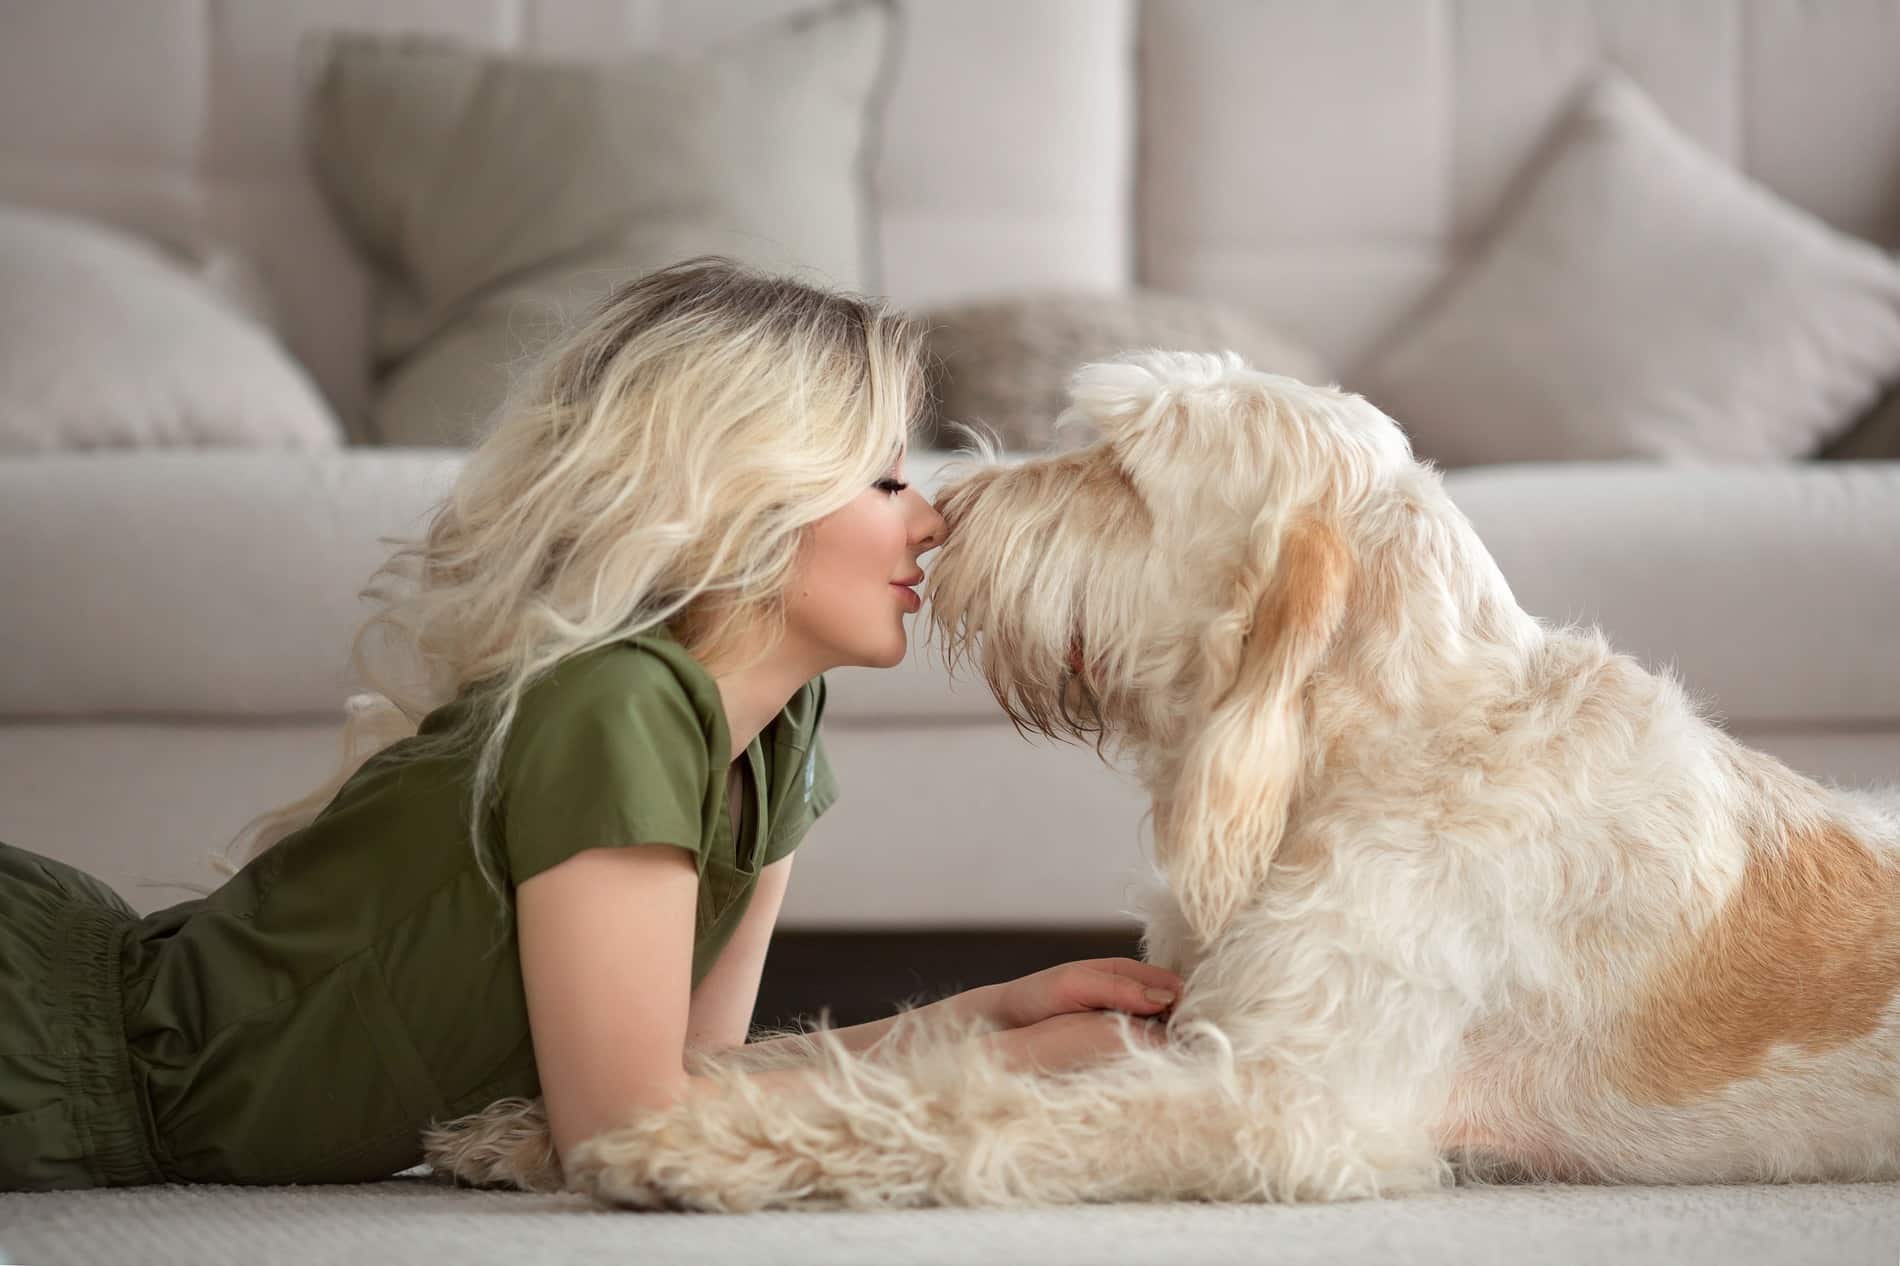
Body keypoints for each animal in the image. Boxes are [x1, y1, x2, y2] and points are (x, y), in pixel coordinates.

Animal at [423, 349, 1900, 1208]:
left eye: (1124, 472)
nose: (942, 514)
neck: (1374, 747)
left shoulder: (1283, 1106)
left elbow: (960, 1103)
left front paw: (689, 1145)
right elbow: (847, 1042)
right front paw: (533, 1124)